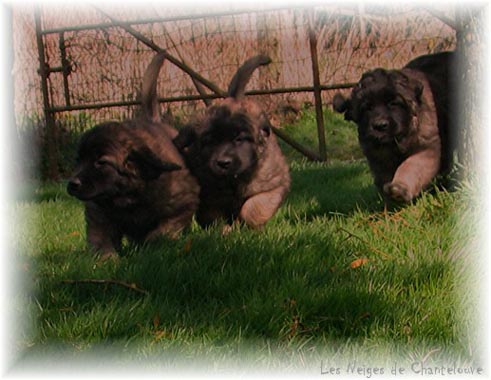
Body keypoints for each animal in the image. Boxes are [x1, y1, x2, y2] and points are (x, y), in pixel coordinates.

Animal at [67, 53, 200, 260]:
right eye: (78, 160)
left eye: (100, 162)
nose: (72, 184)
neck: (126, 198)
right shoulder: (99, 216)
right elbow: (101, 240)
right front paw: (107, 259)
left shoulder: (183, 204)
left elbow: (161, 232)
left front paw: (150, 248)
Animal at [173, 54, 290, 229]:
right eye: (210, 141)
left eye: (239, 139)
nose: (223, 163)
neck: (234, 180)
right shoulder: (207, 190)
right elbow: (213, 212)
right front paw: (221, 229)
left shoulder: (273, 184)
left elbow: (254, 206)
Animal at [332, 52, 456, 205]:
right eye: (367, 108)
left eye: (393, 103)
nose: (380, 125)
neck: (395, 142)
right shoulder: (378, 159)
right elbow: (383, 179)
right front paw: (390, 203)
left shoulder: (426, 148)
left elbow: (410, 167)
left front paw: (399, 188)